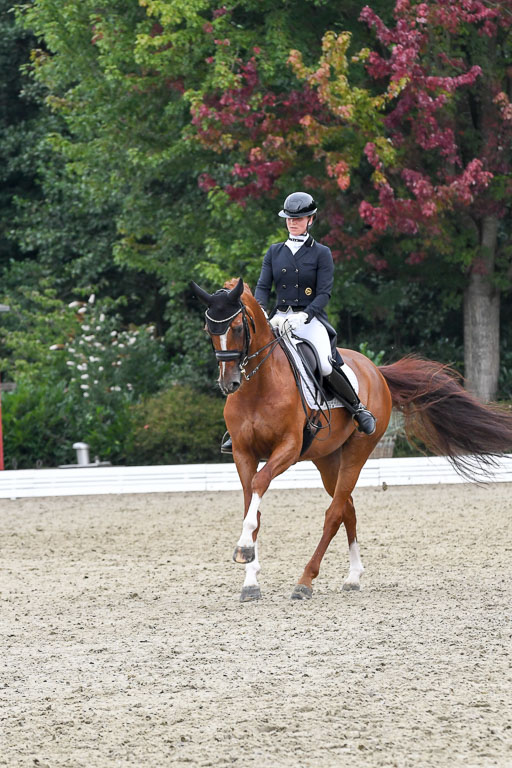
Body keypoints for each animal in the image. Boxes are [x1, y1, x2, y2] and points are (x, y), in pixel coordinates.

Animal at [191, 280, 512, 604]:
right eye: (209, 330)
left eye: (237, 327)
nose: (229, 383)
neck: (258, 386)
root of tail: (375, 370)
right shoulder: (243, 453)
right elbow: (251, 507)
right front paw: (250, 580)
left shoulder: (288, 449)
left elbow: (259, 486)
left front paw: (243, 550)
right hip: (327, 458)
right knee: (347, 506)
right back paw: (353, 577)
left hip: (357, 451)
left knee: (334, 513)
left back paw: (306, 581)